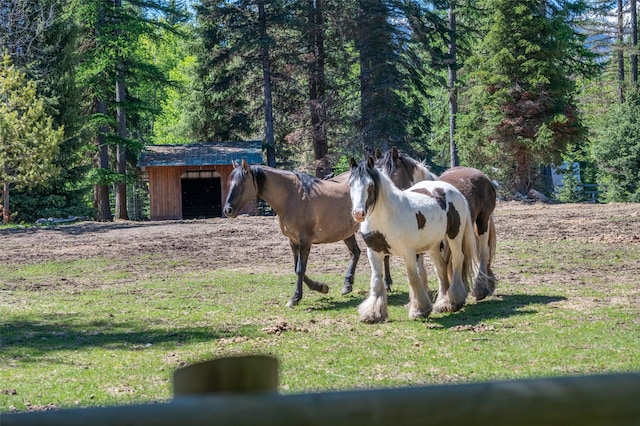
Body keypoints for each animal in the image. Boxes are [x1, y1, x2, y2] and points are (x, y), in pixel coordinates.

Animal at [348, 157, 478, 322]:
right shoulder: (374, 252)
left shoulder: (409, 253)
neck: (386, 218)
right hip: (433, 245)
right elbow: (376, 280)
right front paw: (372, 314)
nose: (358, 213)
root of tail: (451, 189)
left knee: (457, 261)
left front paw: (419, 310)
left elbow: (413, 277)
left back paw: (454, 301)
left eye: (370, 185)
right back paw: (442, 303)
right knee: (441, 269)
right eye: (350, 184)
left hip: (454, 236)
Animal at [376, 148, 500, 302]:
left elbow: (442, 265)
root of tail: (483, 176)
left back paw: (480, 289)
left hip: (482, 221)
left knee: (483, 251)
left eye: (394, 172)